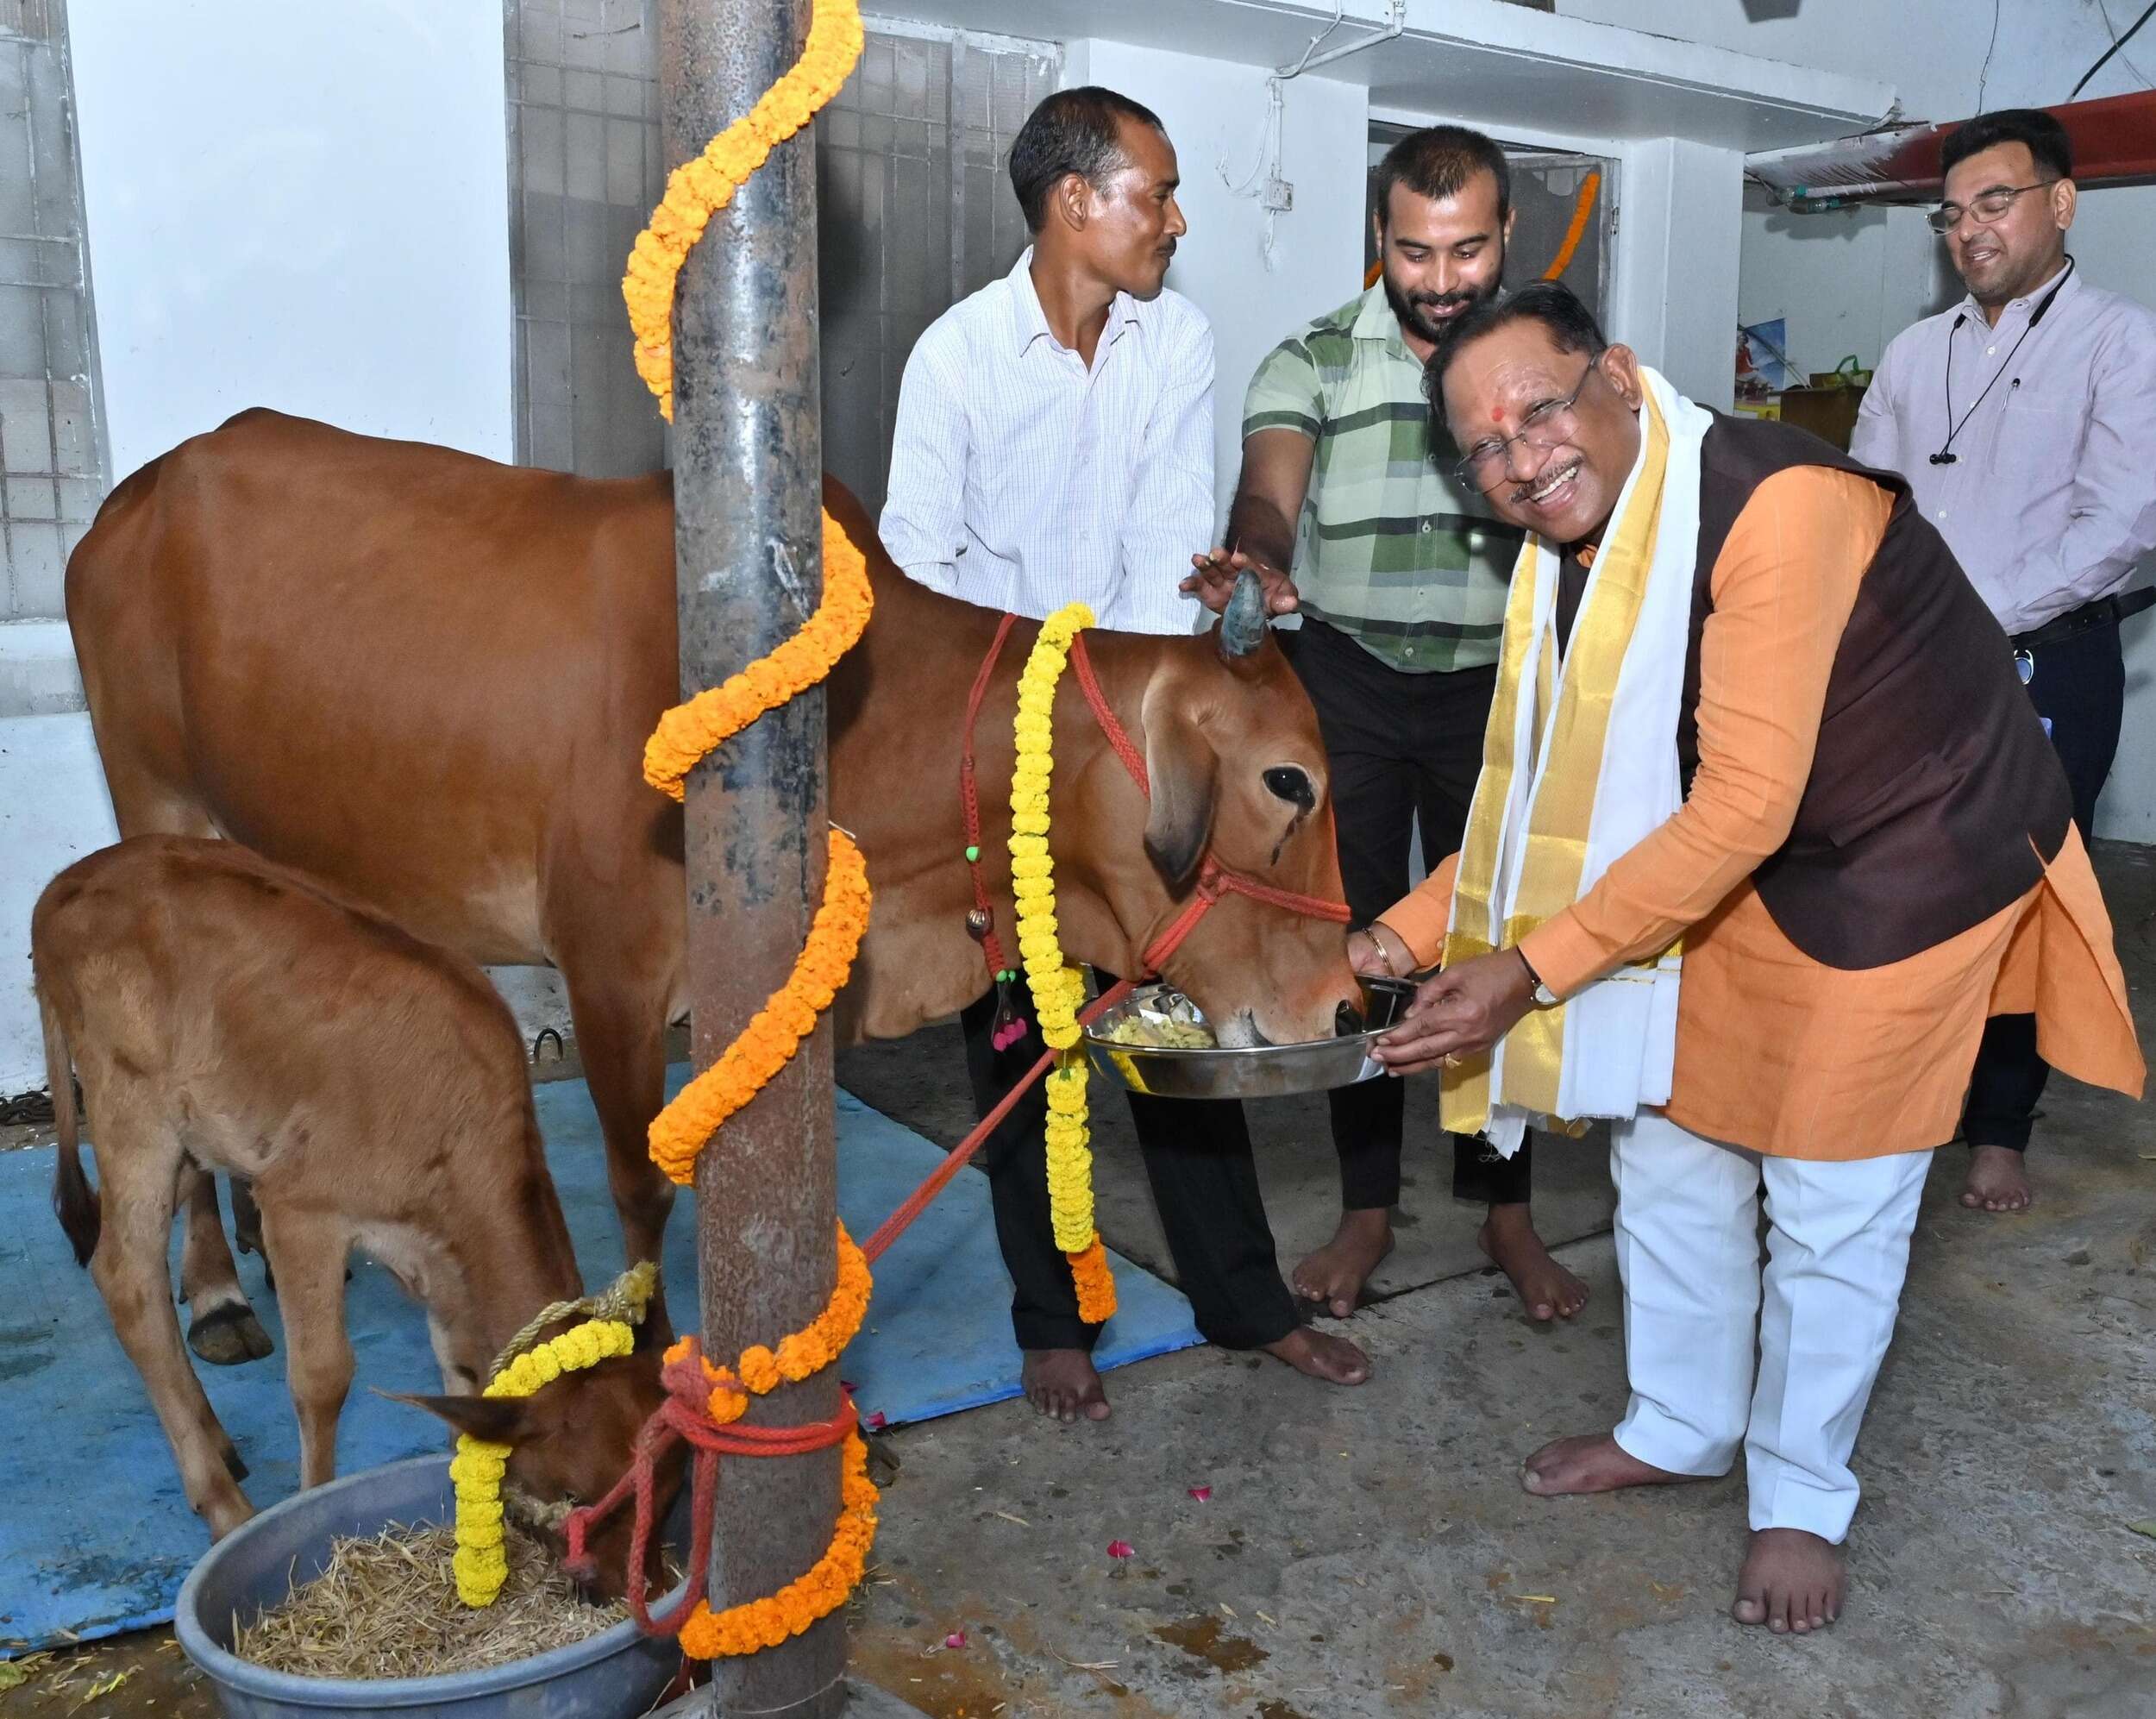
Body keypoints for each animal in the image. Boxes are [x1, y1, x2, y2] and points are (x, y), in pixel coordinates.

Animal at [34, 835, 682, 1586]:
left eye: (671, 1489)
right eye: (578, 1490)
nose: (628, 1588)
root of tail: (73, 878)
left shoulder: (438, 1258)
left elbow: (461, 1371)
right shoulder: (299, 1206)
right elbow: (323, 1377)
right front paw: (311, 1511)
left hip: (192, 1135)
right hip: (134, 1115)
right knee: (127, 1280)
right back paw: (224, 1504)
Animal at [64, 410, 1361, 1362]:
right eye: (1288, 780)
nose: (1347, 1003)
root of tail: (143, 487)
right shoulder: (609, 974)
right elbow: (644, 1190)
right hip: (149, 794)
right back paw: (217, 1291)